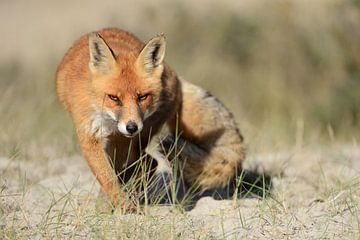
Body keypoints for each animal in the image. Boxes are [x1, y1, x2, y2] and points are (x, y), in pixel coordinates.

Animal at [55, 27, 245, 212]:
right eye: (114, 98)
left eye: (142, 97)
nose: (131, 127)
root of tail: (174, 76)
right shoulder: (90, 135)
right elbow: (107, 177)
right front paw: (116, 203)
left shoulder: (121, 138)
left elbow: (114, 175)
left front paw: (120, 205)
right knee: (144, 163)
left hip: (141, 136)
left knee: (149, 162)